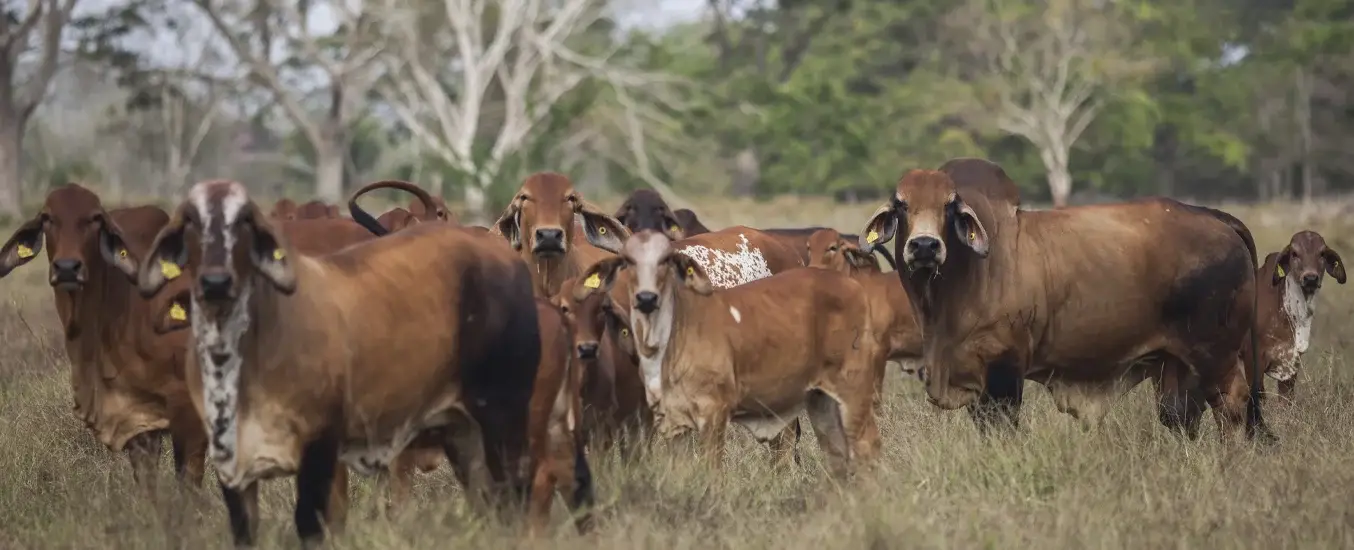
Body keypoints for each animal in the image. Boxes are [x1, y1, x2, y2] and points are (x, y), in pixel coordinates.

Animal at [574, 230, 884, 478]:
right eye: (627, 262)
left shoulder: (711, 414)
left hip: (851, 390)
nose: (646, 299)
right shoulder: (668, 421)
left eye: (666, 262)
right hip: (820, 401)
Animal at [858, 160, 1273, 442]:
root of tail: (1218, 218)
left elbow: (1002, 428)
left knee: (1232, 406)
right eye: (901, 204)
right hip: (1179, 366)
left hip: (1216, 353)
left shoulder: (1004, 368)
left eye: (948, 205)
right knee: (1183, 415)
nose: (925, 246)